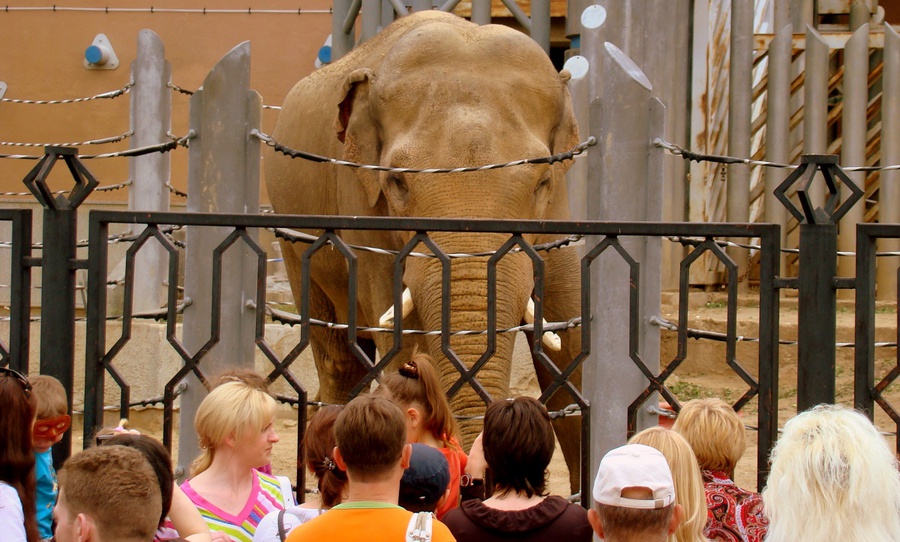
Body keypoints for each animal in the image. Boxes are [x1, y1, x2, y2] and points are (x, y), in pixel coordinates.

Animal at [262, 9, 584, 492]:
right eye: (397, 182)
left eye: (542, 182)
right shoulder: (364, 208)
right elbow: (404, 341)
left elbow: (568, 345)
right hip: (294, 241)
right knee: (337, 356)